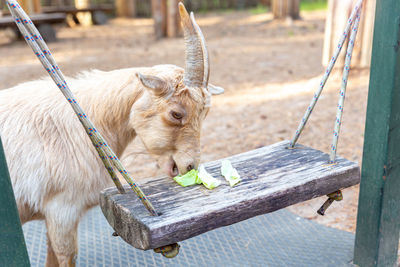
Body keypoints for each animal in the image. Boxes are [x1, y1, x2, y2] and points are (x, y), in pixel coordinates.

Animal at [0, 3, 223, 266]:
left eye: (205, 113)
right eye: (177, 113)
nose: (189, 166)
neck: (82, 121)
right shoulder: (61, 209)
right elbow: (65, 256)